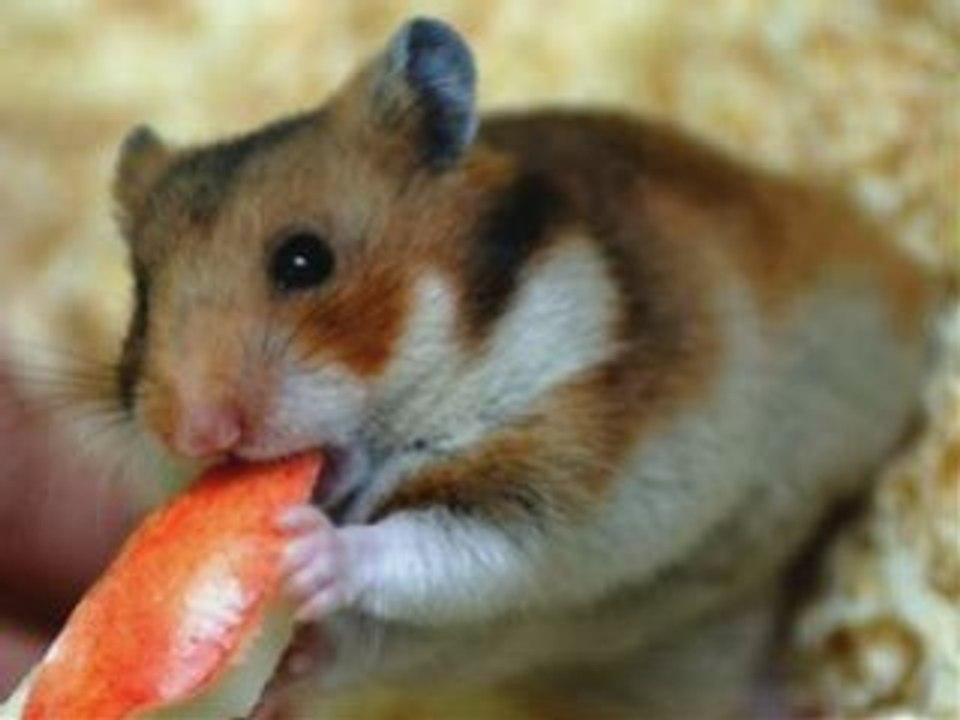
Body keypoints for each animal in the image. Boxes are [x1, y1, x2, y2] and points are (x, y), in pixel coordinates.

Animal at [111, 17, 936, 719]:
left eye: (303, 260)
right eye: (144, 298)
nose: (194, 432)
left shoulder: (550, 472)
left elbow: (435, 548)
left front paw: (308, 548)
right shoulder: (439, 638)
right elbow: (356, 641)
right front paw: (279, 684)